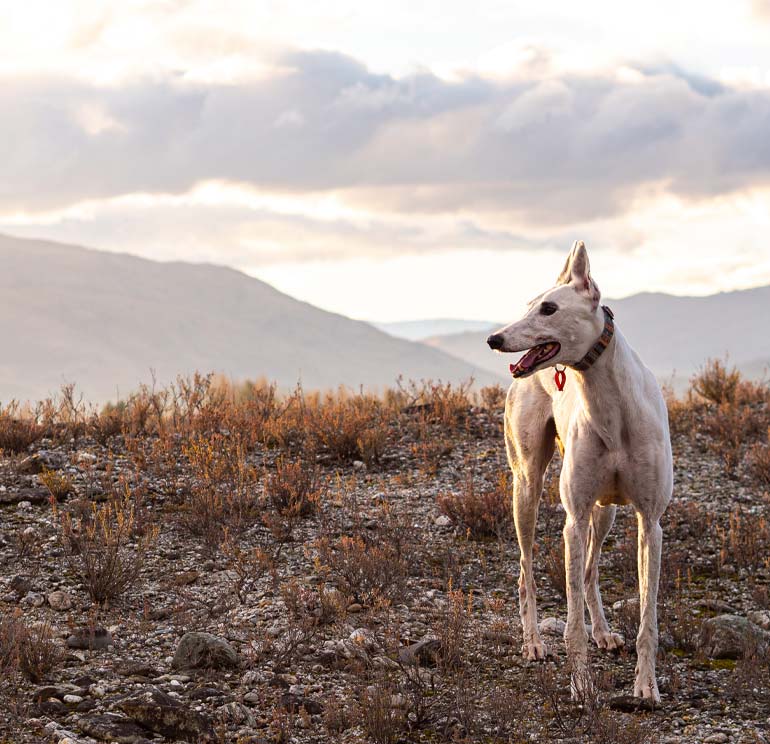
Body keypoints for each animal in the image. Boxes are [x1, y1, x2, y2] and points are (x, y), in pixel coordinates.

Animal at [486, 243, 672, 704]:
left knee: (589, 571)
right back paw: (533, 641)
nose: (494, 339)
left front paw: (646, 684)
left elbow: (648, 618)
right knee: (525, 571)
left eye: (549, 308)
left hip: (605, 510)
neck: (614, 408)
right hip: (528, 488)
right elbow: (571, 626)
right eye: (529, 305)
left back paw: (603, 632)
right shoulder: (573, 519)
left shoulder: (650, 522)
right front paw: (582, 685)